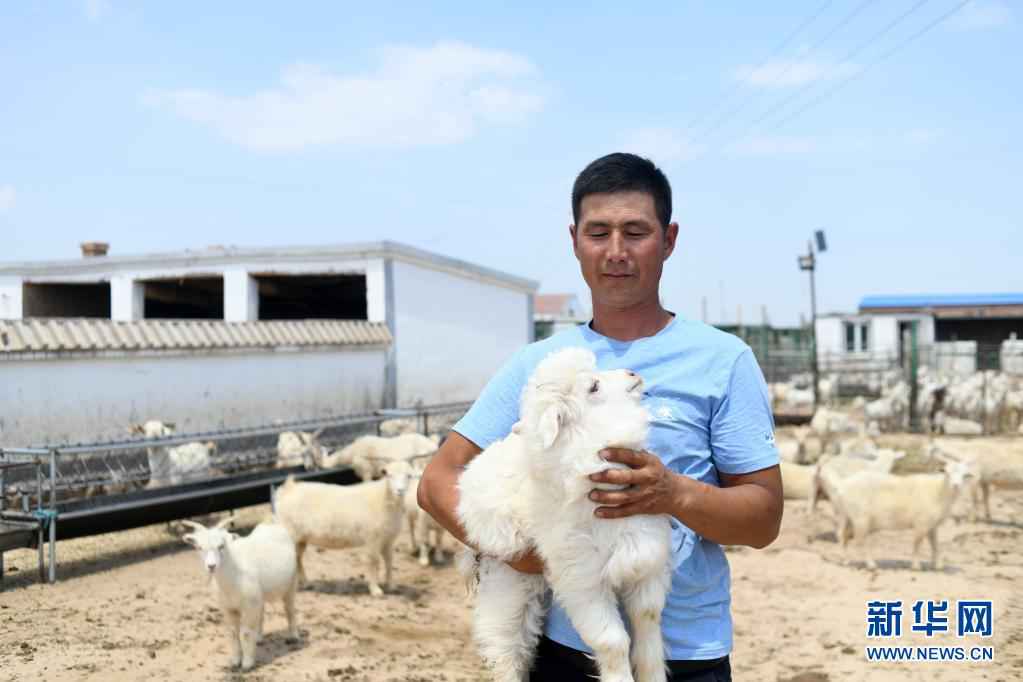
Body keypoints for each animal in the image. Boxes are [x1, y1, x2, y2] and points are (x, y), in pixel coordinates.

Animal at [180, 519, 298, 670]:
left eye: (221, 546)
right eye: (199, 548)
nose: (211, 566)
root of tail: (270, 523)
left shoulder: (248, 605)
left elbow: (245, 633)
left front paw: (247, 663)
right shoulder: (228, 608)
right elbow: (232, 633)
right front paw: (235, 661)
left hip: (291, 583)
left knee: (289, 609)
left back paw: (293, 636)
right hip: (258, 596)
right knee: (261, 612)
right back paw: (258, 638)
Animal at [276, 458, 415, 597]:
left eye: (408, 476)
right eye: (389, 475)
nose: (400, 490)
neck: (383, 497)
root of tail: (289, 488)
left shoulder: (388, 539)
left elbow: (389, 561)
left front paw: (391, 586)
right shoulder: (372, 539)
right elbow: (373, 562)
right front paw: (375, 589)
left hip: (301, 538)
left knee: (297, 558)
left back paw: (305, 583)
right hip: (290, 533)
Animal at [456, 349, 671, 682]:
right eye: (593, 387)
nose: (633, 374)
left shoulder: (643, 557)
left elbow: (647, 622)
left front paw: (653, 674)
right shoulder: (582, 580)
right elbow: (612, 642)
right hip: (507, 578)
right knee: (505, 649)